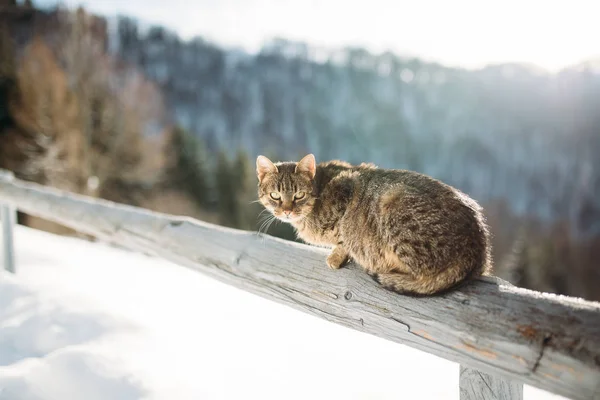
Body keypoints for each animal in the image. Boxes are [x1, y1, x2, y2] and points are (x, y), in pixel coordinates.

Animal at [254, 152, 492, 294]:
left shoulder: (346, 190)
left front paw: (338, 255)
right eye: (275, 196)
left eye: (299, 195)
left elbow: (344, 236)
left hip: (394, 203)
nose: (287, 210)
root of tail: (478, 249)